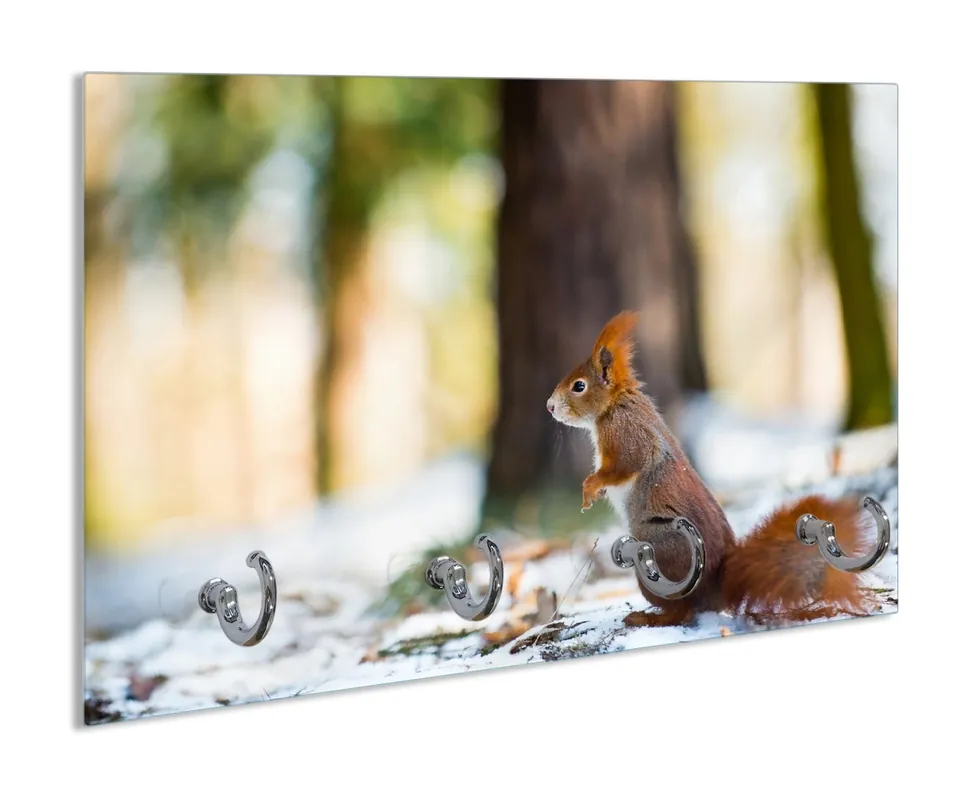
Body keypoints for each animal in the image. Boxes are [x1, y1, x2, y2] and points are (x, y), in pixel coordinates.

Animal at [547, 310, 880, 628]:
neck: (613, 406)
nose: (549, 406)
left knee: (683, 612)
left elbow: (627, 464)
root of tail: (717, 593)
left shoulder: (627, 434)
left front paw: (590, 486)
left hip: (656, 552)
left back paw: (648, 617)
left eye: (579, 386)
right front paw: (594, 492)